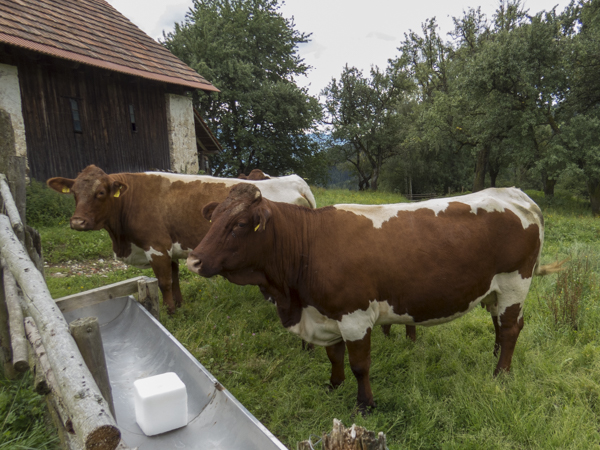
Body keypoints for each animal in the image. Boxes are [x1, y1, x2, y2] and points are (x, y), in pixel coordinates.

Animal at [47, 163, 316, 314]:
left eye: (101, 192)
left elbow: (164, 282)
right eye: (73, 193)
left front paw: (170, 311)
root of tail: (294, 180)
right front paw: (179, 305)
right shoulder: (170, 250)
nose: (77, 222)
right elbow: (175, 279)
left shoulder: (156, 247)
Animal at [188, 183, 564, 412]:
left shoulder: (354, 315)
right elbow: (334, 356)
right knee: (499, 326)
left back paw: (501, 374)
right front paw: (333, 385)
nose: (194, 260)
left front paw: (364, 404)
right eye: (213, 217)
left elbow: (360, 365)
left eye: (239, 224)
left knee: (511, 328)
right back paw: (497, 358)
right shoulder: (327, 313)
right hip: (495, 290)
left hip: (515, 283)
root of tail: (513, 193)